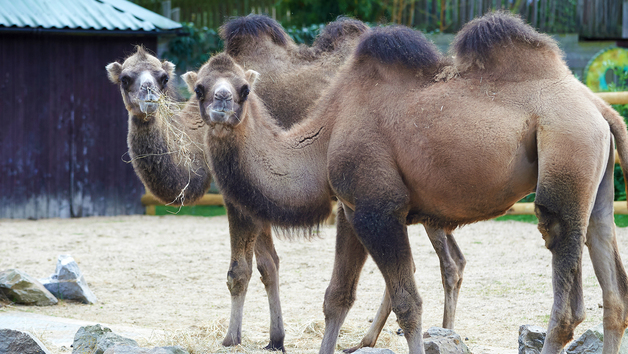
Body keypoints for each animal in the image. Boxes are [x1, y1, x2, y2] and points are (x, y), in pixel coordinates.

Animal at [186, 11, 628, 354]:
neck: (327, 132)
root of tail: (598, 107)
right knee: (612, 285)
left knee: (565, 289)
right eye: (200, 88)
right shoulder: (353, 210)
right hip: (597, 182)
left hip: (566, 154)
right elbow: (336, 298)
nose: (221, 105)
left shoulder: (379, 208)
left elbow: (408, 303)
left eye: (244, 88)